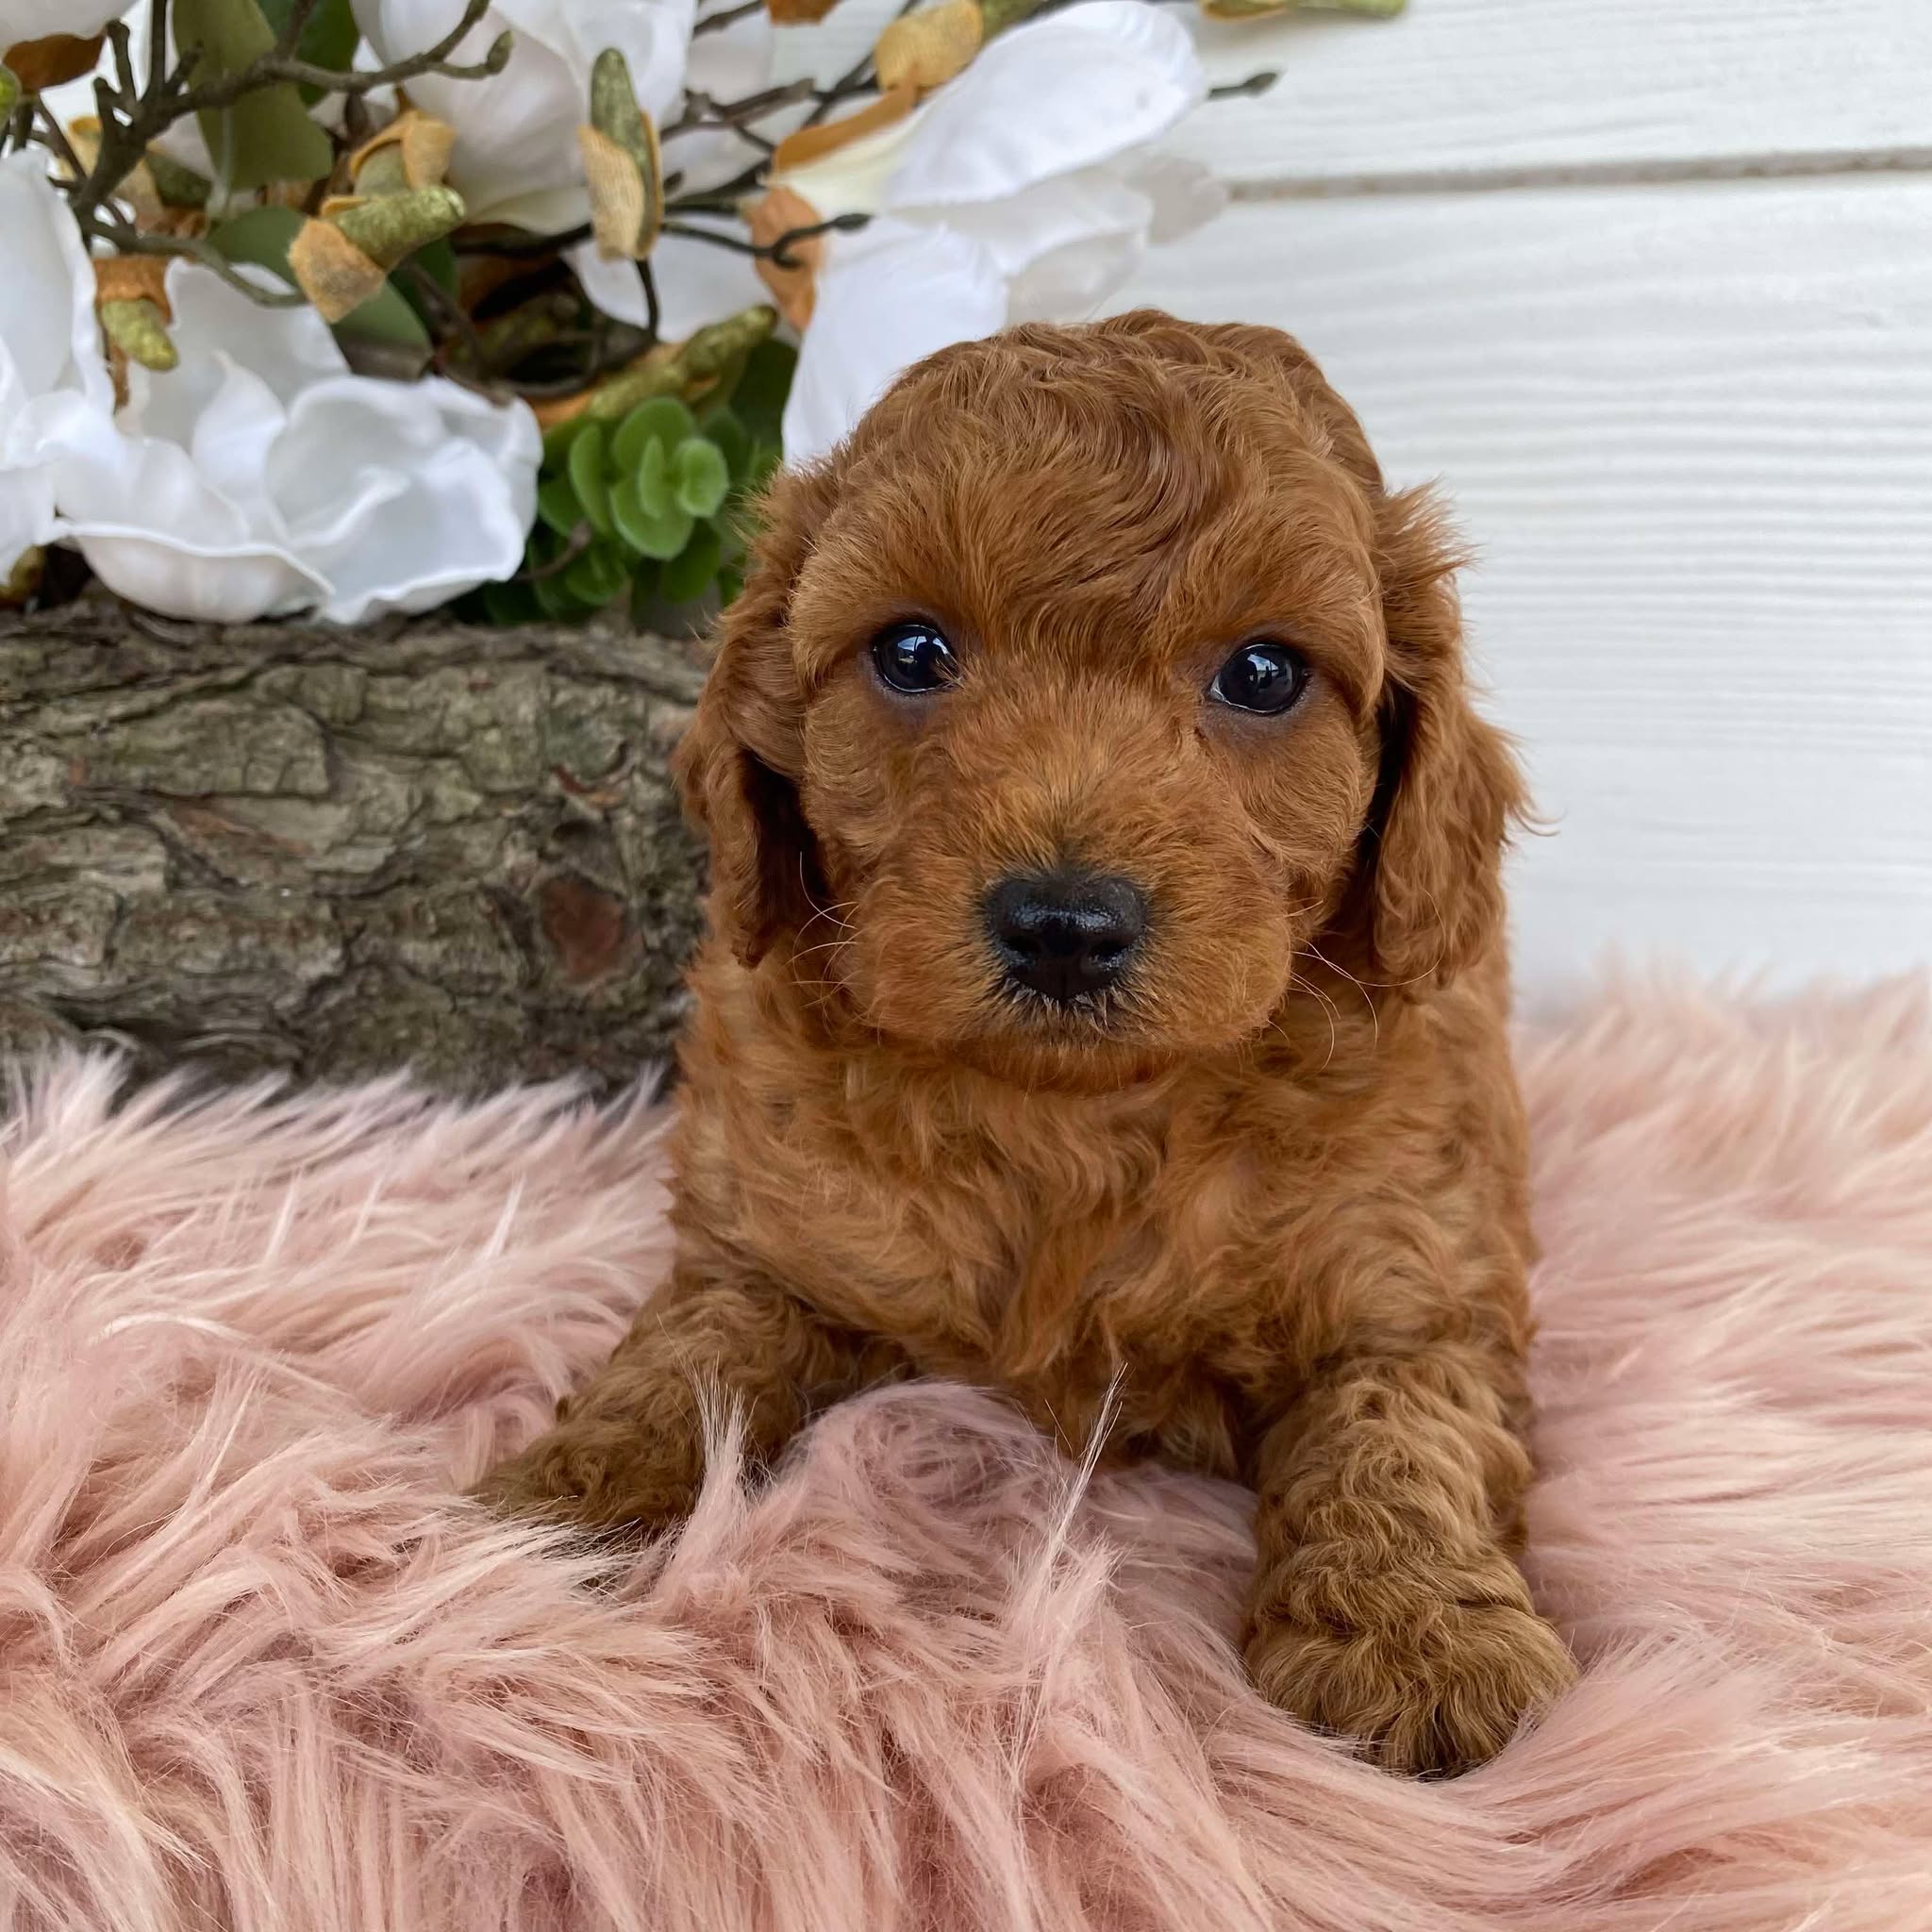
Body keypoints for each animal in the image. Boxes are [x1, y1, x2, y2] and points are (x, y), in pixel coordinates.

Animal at [478, 308, 1568, 1769]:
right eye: (912, 653)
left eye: (1263, 673)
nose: (1063, 924)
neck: (1073, 1112)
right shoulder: (761, 1249)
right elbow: (686, 1359)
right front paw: (559, 1499)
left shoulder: (1420, 1280)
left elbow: (1400, 1431)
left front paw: (1413, 1637)